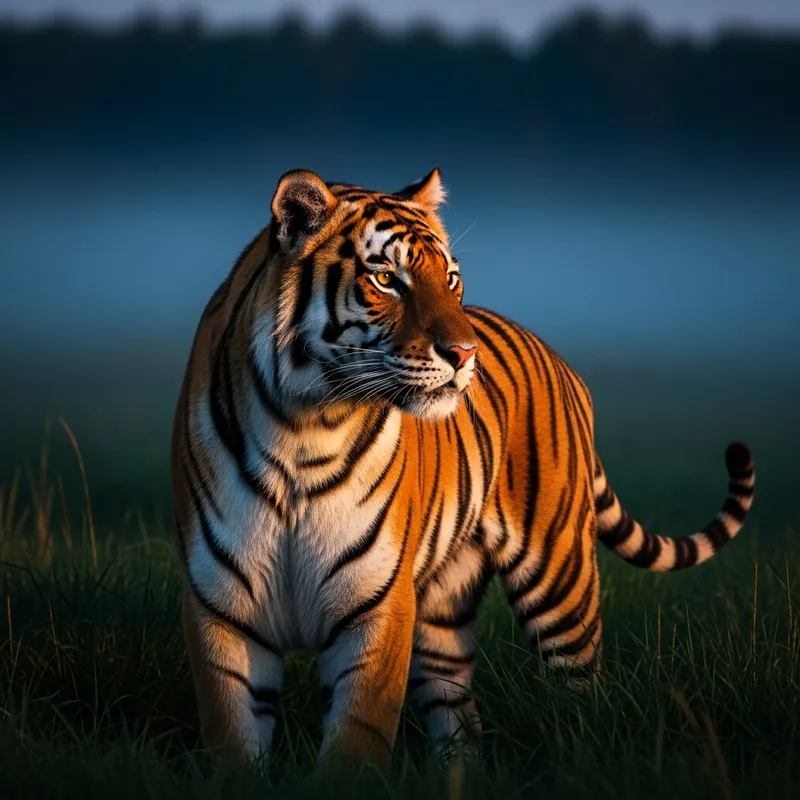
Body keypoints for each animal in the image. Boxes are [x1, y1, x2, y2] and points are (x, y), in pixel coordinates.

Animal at [171, 167, 755, 769]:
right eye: (386, 279)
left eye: (450, 279)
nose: (465, 354)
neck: (305, 429)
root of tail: (561, 361)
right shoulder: (219, 604)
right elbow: (233, 737)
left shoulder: (377, 603)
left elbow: (357, 737)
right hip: (442, 614)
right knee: (458, 714)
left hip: (562, 583)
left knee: (584, 688)